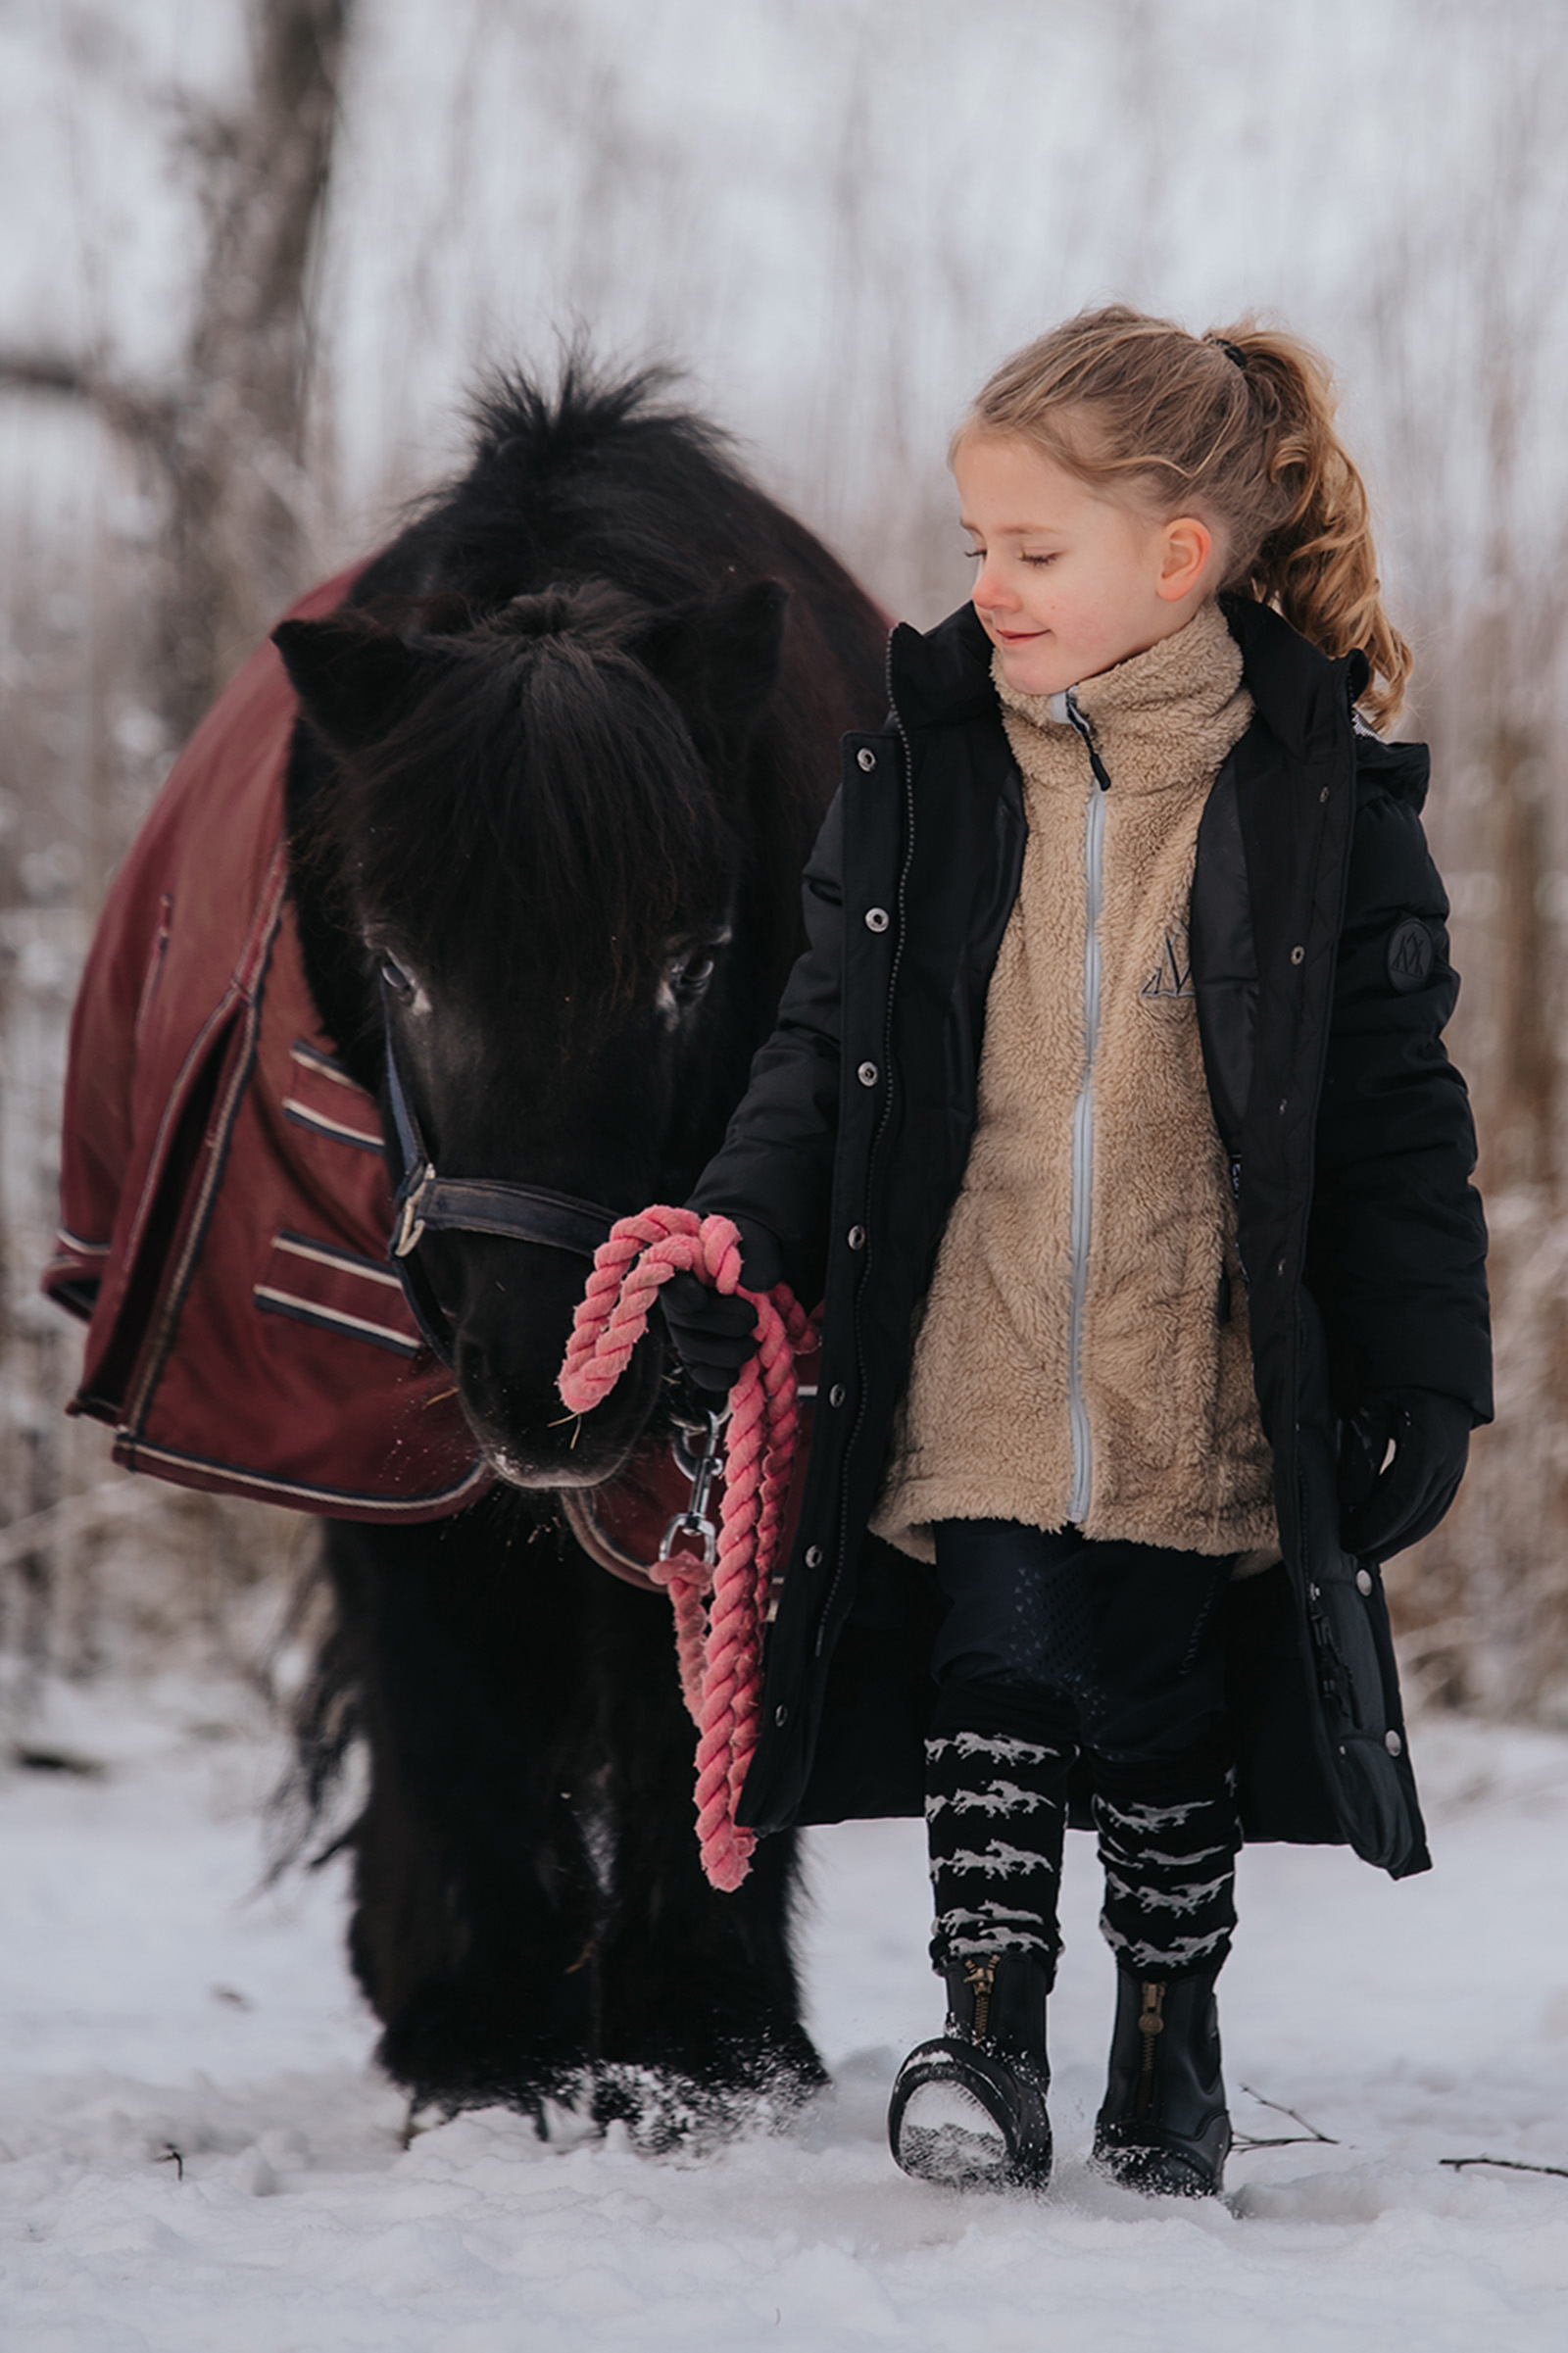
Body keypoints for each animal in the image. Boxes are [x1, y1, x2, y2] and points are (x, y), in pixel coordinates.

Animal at [271, 364, 889, 2135]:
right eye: (397, 966)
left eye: (691, 960)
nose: (554, 1387)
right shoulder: (376, 1421)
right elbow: (438, 1674)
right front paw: (480, 2036)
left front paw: (705, 2043)